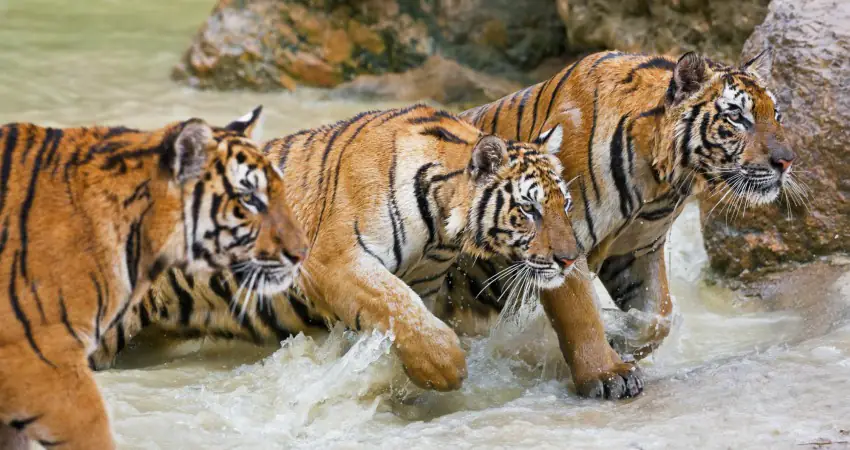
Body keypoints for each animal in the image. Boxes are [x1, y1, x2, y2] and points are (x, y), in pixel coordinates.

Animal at [90, 104, 581, 393]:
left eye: (565, 204)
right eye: (529, 210)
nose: (570, 258)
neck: (442, 232)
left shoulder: (421, 281)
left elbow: (406, 316)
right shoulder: (333, 261)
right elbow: (399, 309)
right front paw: (446, 369)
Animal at [440, 48, 797, 398]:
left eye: (776, 115)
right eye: (736, 117)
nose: (787, 160)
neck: (661, 181)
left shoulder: (638, 248)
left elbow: (659, 314)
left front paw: (619, 338)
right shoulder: (563, 243)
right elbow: (580, 315)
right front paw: (607, 374)